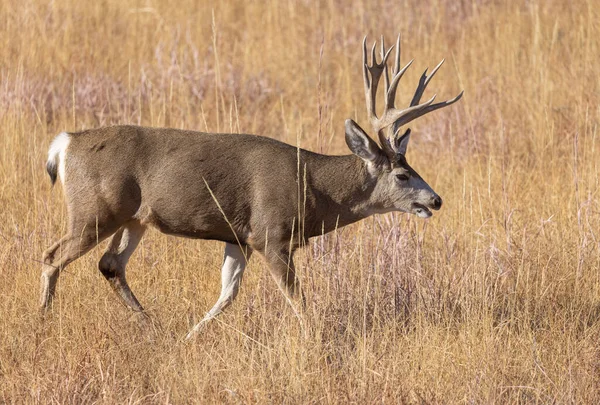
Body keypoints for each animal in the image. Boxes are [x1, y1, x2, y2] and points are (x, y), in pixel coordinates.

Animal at [42, 35, 462, 338]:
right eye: (402, 175)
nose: (436, 200)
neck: (313, 188)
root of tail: (65, 143)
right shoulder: (270, 234)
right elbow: (298, 301)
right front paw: (317, 340)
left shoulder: (238, 237)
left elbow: (227, 293)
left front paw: (190, 337)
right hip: (95, 210)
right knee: (52, 257)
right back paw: (43, 321)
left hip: (134, 219)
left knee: (110, 264)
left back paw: (153, 326)